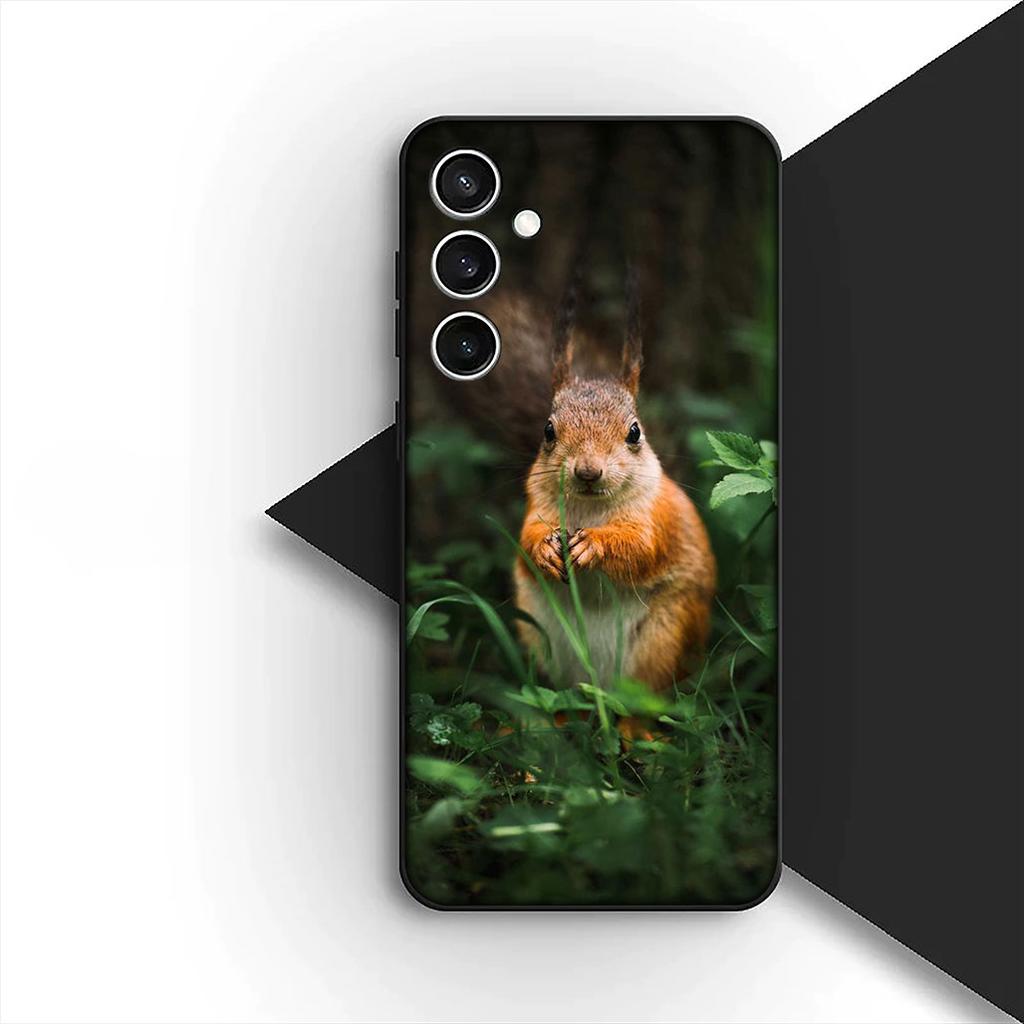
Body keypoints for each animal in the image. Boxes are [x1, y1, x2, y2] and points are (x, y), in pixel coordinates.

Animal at [502, 279, 718, 695]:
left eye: (634, 432)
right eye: (548, 431)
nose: (588, 472)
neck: (590, 509)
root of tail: (597, 682)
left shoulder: (656, 517)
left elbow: (641, 548)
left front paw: (594, 545)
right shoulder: (537, 504)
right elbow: (525, 536)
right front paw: (544, 548)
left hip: (667, 632)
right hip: (541, 635)